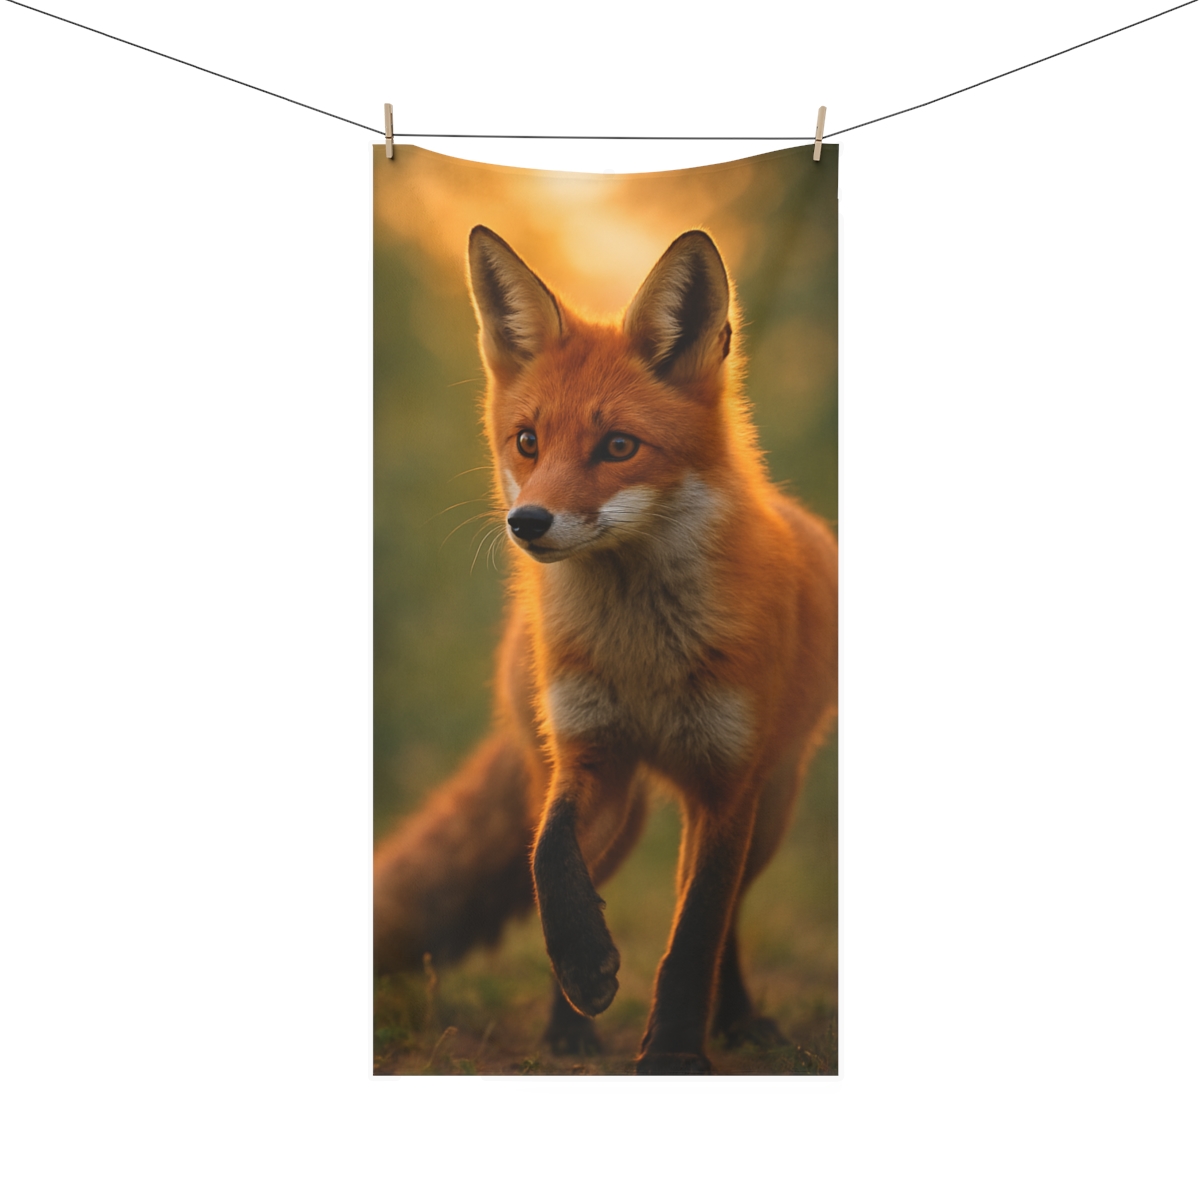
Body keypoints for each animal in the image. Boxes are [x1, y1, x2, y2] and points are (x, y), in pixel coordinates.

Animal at [374, 224, 838, 1074]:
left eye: (619, 445)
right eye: (527, 441)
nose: (528, 522)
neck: (641, 656)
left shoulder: (728, 785)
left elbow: (696, 931)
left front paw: (676, 1051)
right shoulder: (589, 757)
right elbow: (547, 861)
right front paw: (588, 973)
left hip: (772, 806)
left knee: (728, 916)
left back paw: (736, 1019)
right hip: (617, 816)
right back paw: (569, 1029)